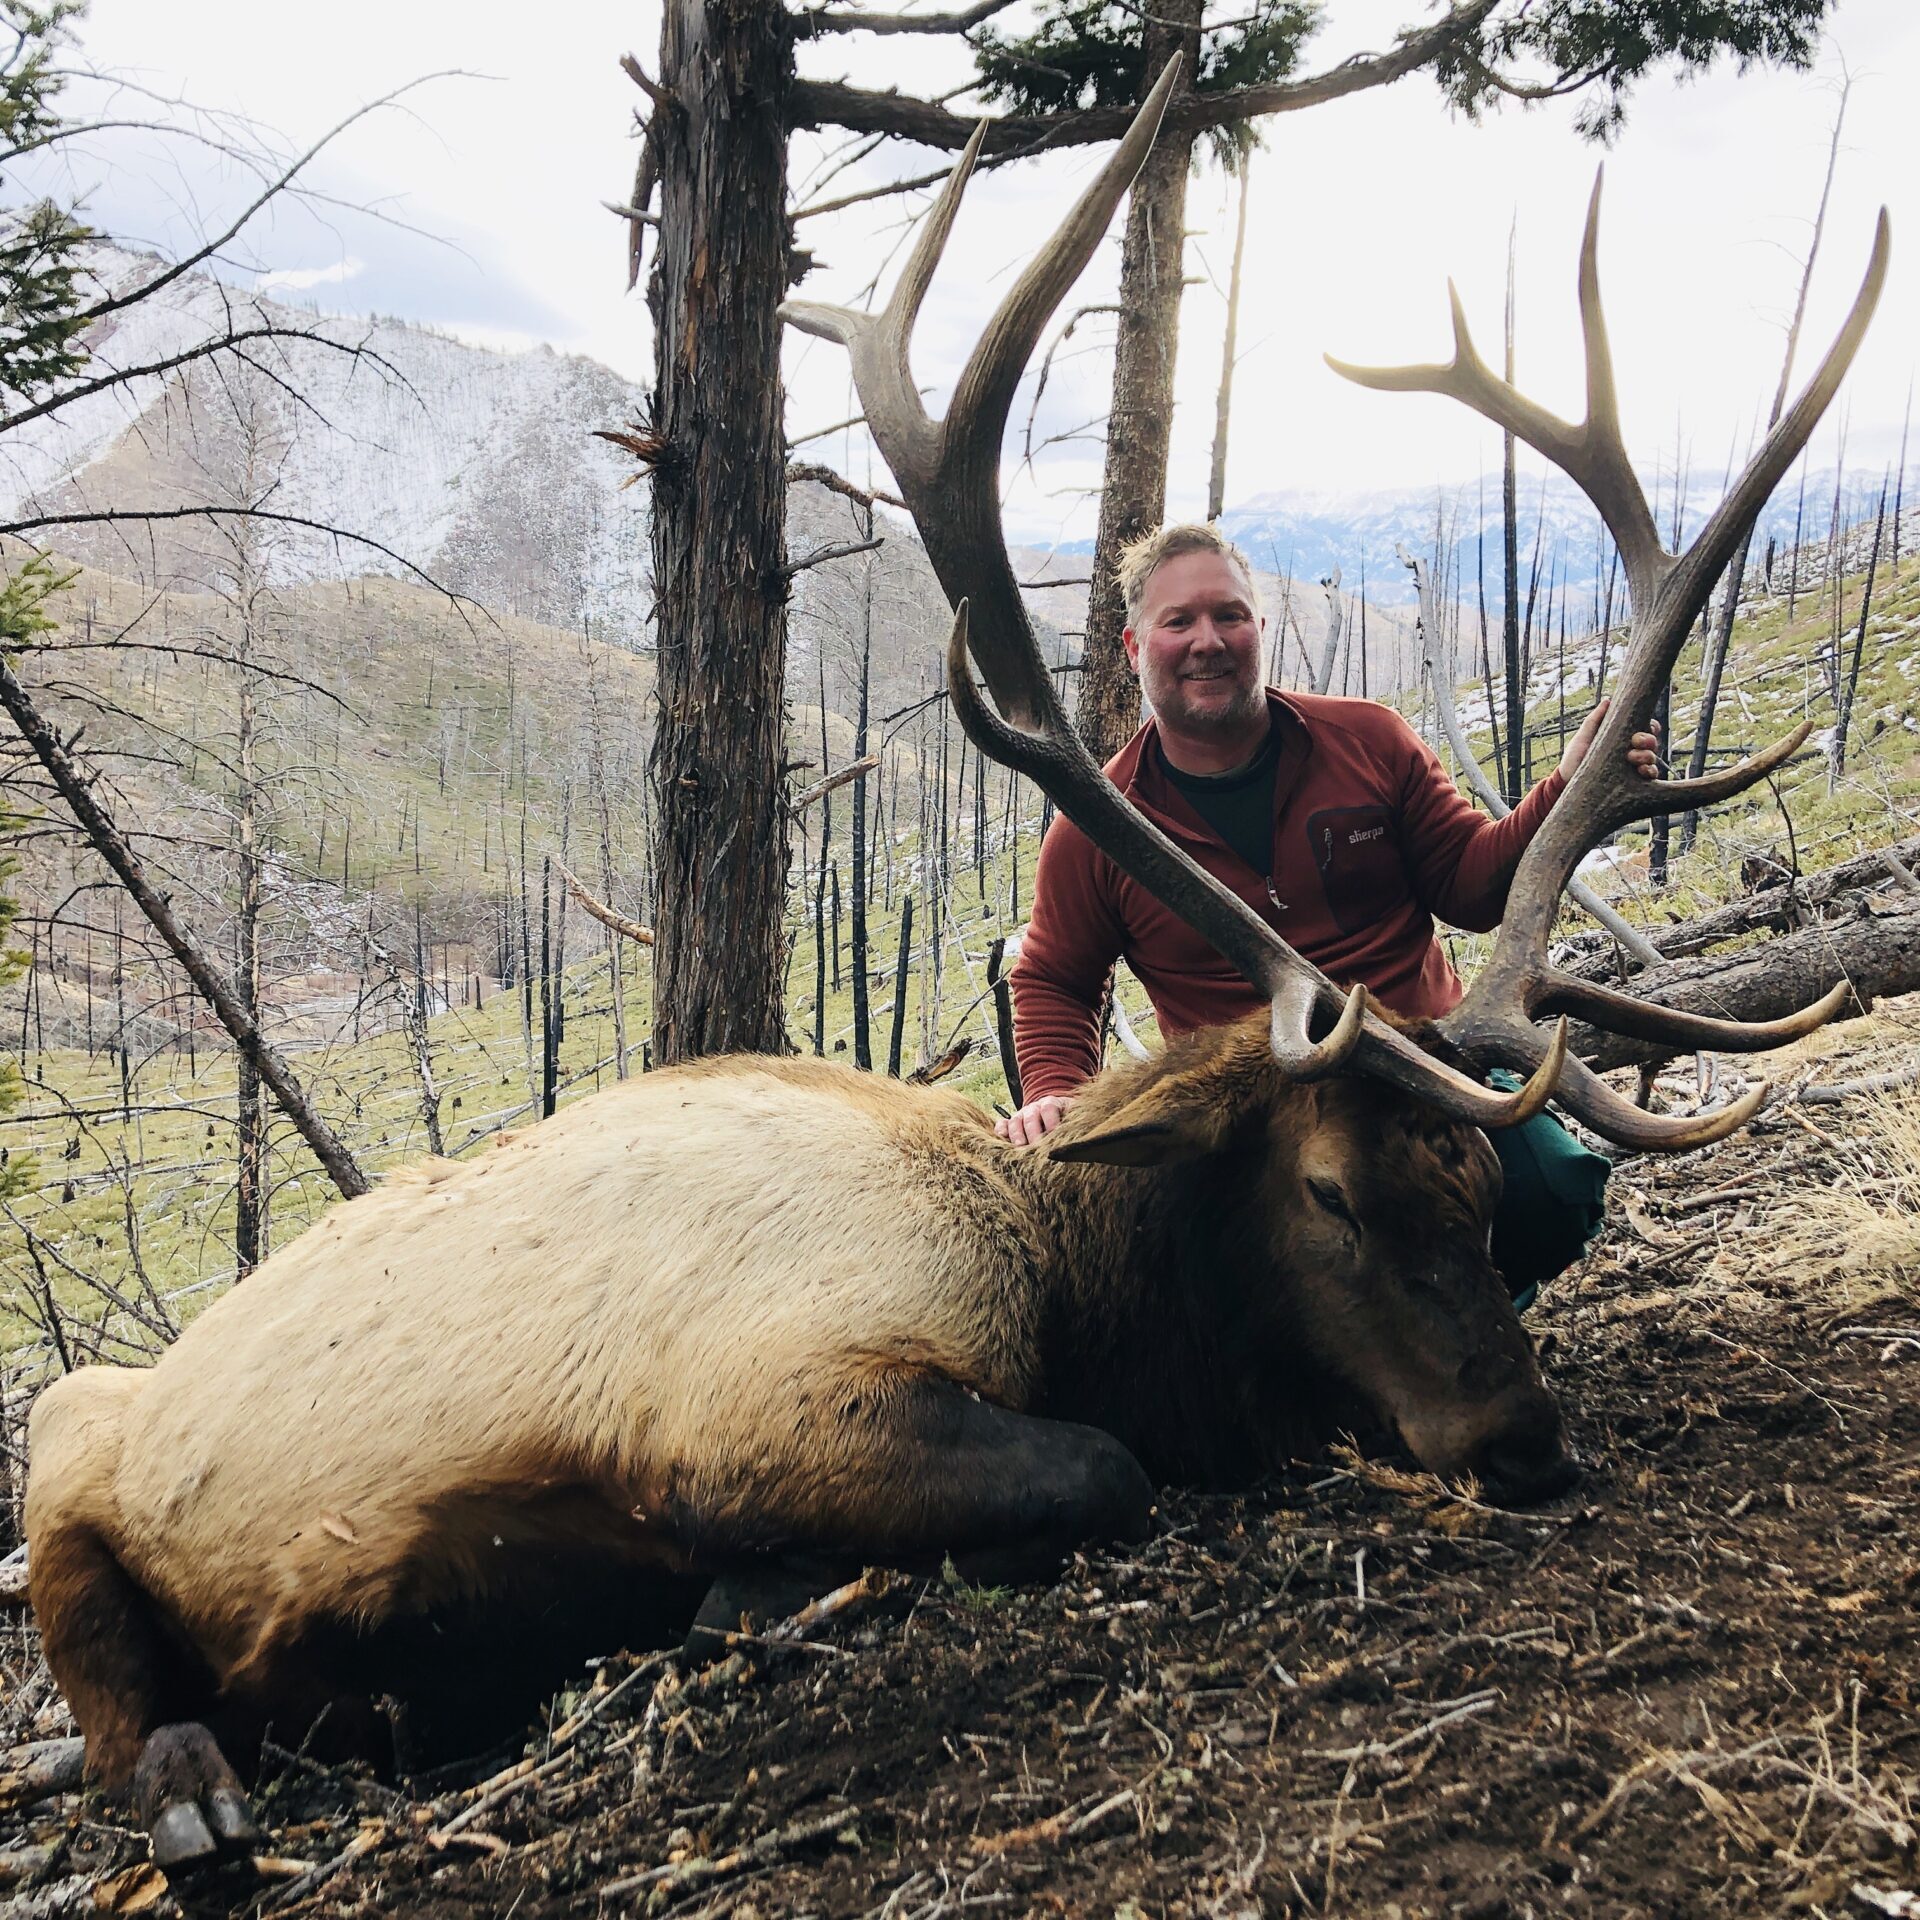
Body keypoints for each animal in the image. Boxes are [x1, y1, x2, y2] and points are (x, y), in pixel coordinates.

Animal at [26, 60, 1889, 1873]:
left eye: (1484, 1192)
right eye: (1332, 1195)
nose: (1523, 1440)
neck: (1080, 1286)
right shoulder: (765, 1401)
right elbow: (1098, 1470)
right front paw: (747, 1593)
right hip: (67, 1462)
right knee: (99, 1652)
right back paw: (209, 1782)